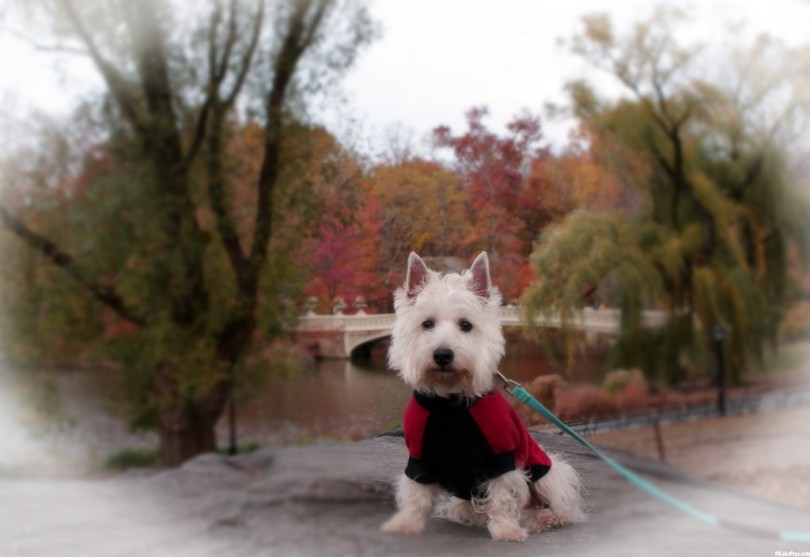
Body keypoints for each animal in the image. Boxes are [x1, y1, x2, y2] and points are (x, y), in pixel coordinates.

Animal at [378, 254, 580, 540]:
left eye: (466, 325)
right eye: (427, 324)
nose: (443, 354)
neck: (449, 405)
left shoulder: (501, 456)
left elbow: (503, 497)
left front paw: (507, 530)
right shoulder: (418, 459)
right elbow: (415, 496)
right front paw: (405, 524)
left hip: (549, 473)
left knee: (549, 502)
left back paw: (548, 518)